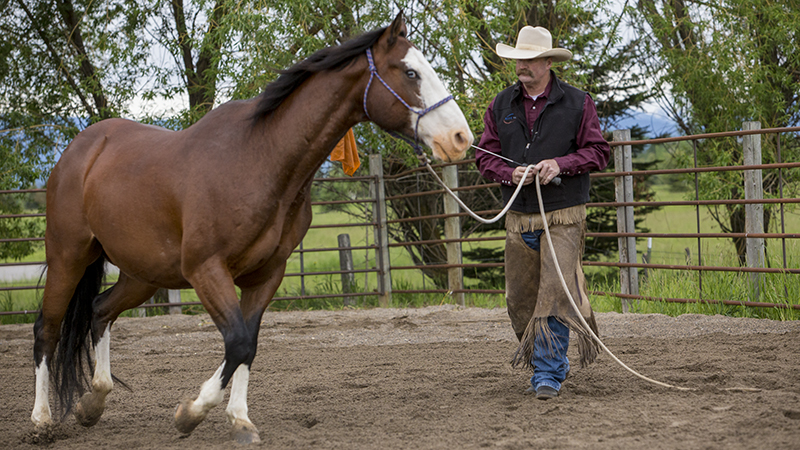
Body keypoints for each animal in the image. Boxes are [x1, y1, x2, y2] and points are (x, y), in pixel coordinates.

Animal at [30, 12, 473, 444]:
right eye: (410, 72)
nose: (460, 138)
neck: (260, 160)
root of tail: (81, 149)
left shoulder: (267, 274)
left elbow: (247, 345)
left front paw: (239, 420)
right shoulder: (207, 269)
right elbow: (239, 342)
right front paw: (191, 414)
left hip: (143, 274)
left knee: (99, 310)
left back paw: (93, 402)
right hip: (69, 256)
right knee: (47, 330)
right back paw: (41, 420)